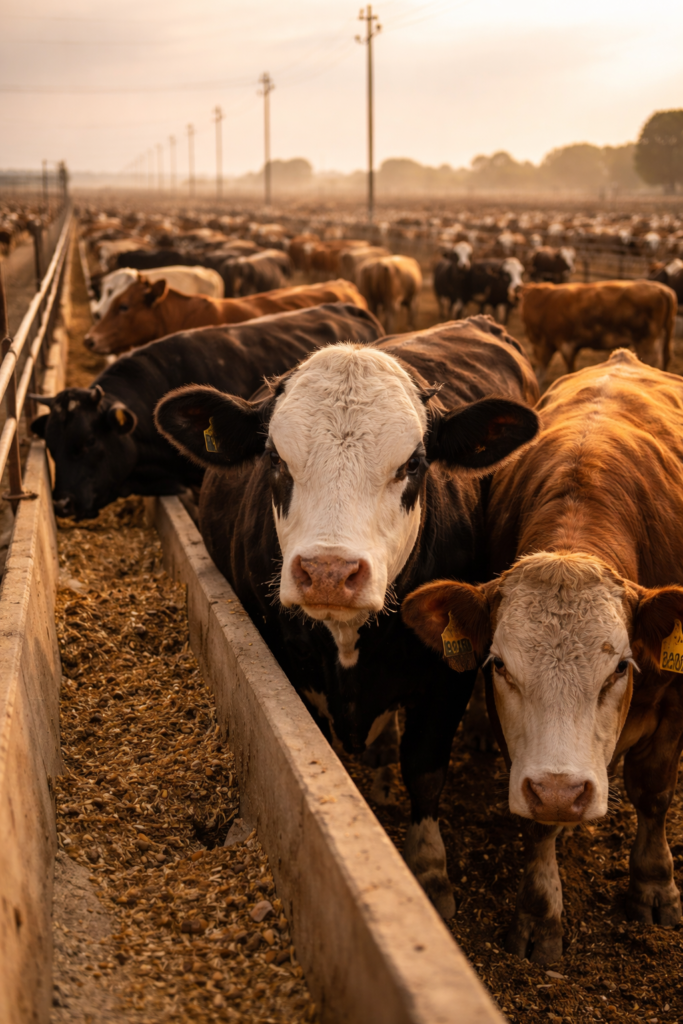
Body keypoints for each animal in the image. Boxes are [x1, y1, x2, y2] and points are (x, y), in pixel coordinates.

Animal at [154, 315, 540, 919]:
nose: (330, 571)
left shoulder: (445, 677)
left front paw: (430, 873)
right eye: (275, 459)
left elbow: (425, 767)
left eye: (413, 463)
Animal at [402, 348, 683, 962]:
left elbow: (653, 791)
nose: (562, 790)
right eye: (499, 665)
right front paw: (538, 914)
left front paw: (653, 886)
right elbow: (539, 825)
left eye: (620, 667)